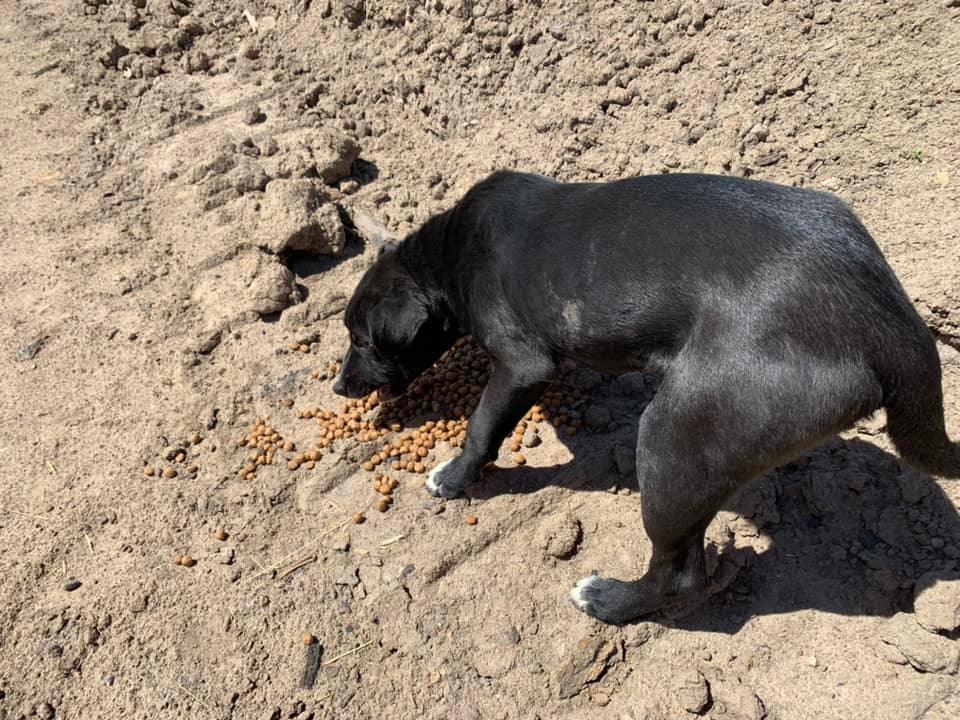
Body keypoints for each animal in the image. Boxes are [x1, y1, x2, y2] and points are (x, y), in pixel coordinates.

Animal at [332, 170, 960, 624]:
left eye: (360, 339)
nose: (338, 386)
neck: (445, 252)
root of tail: (885, 315)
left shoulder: (521, 364)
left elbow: (482, 428)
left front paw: (455, 477)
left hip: (677, 441)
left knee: (679, 574)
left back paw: (609, 602)